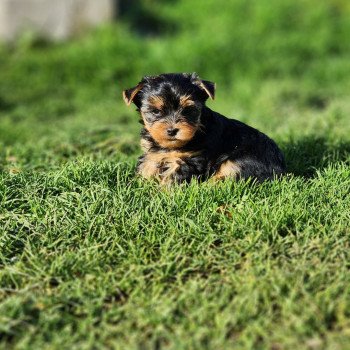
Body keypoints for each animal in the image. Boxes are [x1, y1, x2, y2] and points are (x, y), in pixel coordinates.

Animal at [122, 73, 284, 185]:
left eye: (188, 110)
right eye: (156, 111)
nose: (172, 130)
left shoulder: (188, 160)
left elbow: (172, 177)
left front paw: (161, 194)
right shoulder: (153, 154)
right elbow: (147, 166)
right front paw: (137, 186)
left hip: (243, 161)